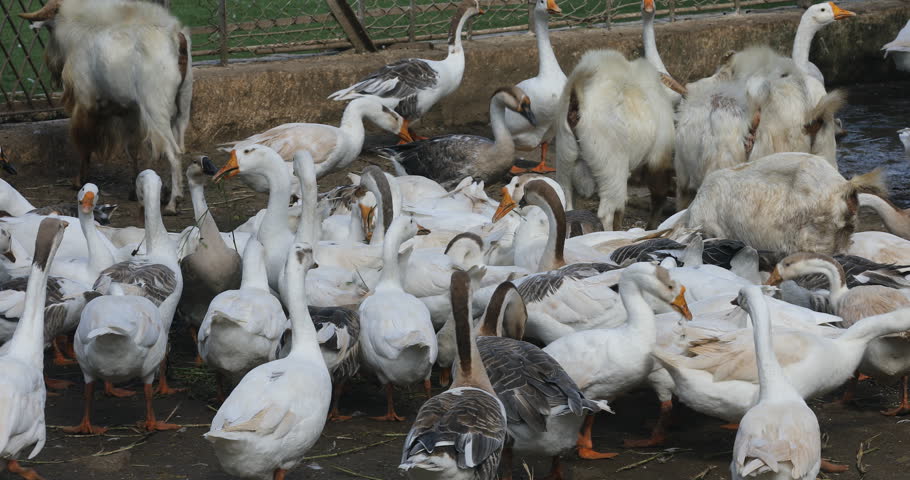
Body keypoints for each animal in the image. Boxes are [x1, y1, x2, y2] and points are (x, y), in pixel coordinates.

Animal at [20, 0, 192, 215]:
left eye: (50, 29)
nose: (51, 64)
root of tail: (176, 39)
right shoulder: (129, 112)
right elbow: (131, 149)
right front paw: (134, 190)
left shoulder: (85, 104)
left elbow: (84, 144)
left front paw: (79, 181)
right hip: (182, 108)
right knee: (180, 146)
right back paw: (169, 194)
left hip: (156, 111)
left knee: (173, 152)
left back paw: (173, 203)